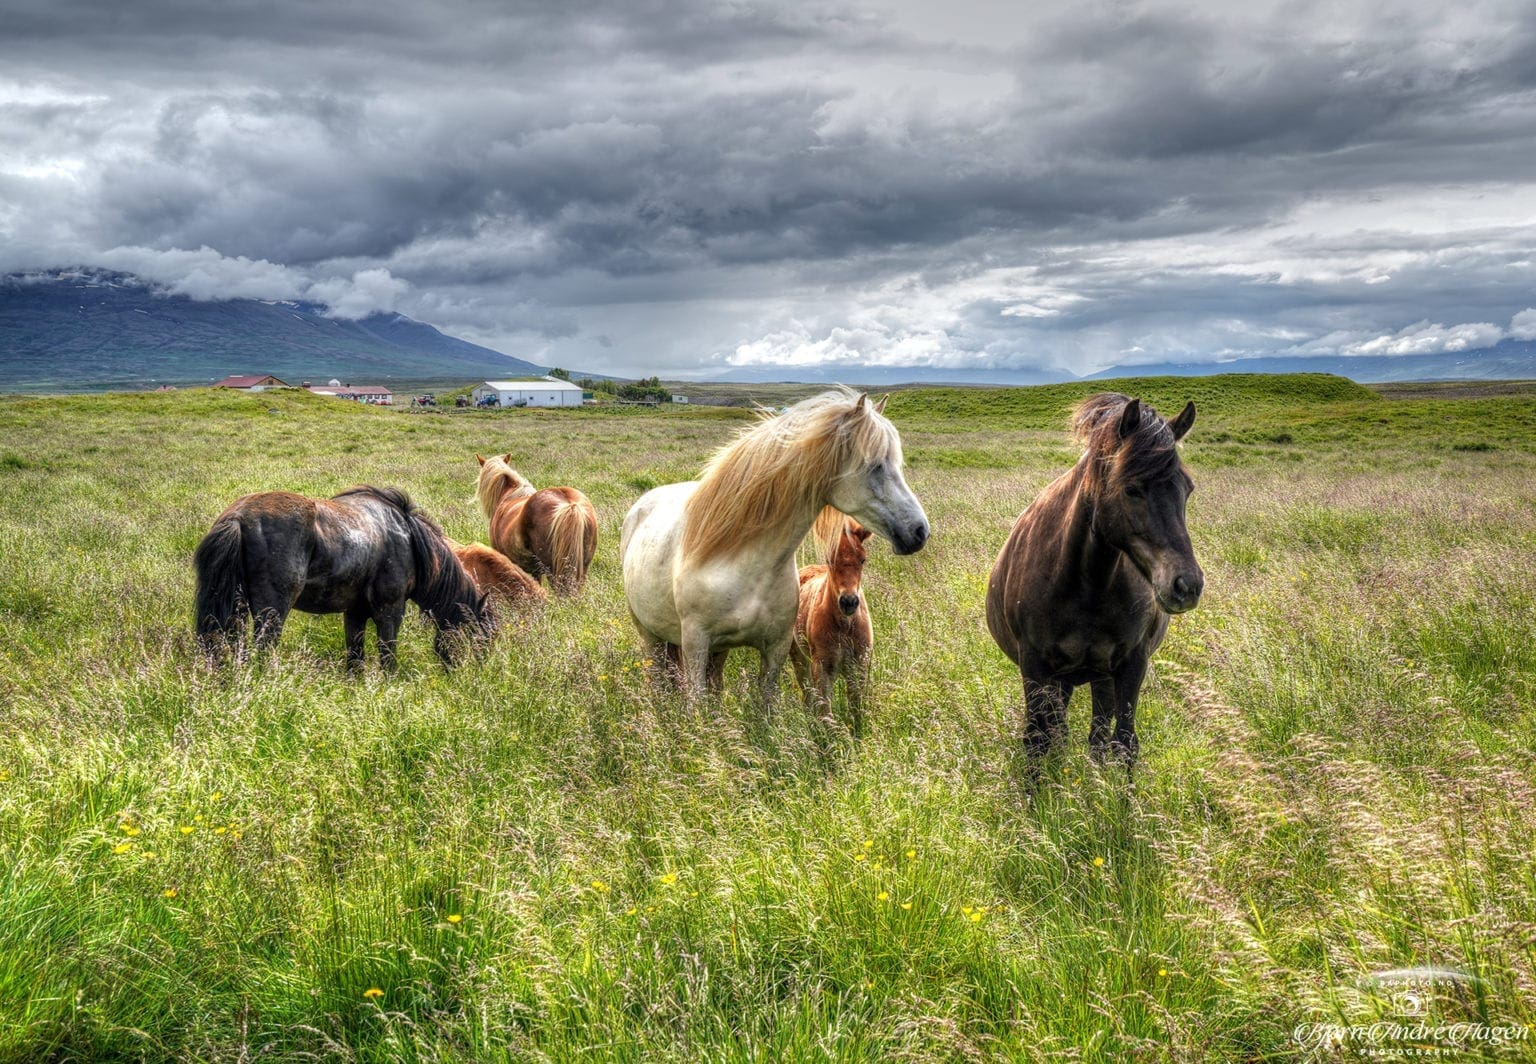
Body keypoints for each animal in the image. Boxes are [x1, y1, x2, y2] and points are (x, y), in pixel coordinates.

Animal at [193, 485, 491, 669]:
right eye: (479, 635)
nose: (475, 673)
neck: (408, 537)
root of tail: (238, 517)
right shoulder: (390, 611)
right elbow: (387, 655)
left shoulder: (355, 613)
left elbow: (355, 658)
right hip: (271, 613)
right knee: (264, 650)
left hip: (235, 610)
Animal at [617, 389, 927, 706]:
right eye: (876, 465)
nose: (919, 531)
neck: (744, 565)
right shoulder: (695, 644)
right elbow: (696, 704)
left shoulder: (775, 649)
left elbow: (765, 704)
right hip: (651, 636)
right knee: (658, 679)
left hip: (717, 651)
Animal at [792, 515, 878, 740]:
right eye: (830, 559)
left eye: (863, 559)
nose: (849, 602)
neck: (845, 628)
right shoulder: (823, 666)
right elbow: (825, 712)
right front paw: (831, 746)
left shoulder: (859, 663)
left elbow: (856, 709)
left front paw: (858, 741)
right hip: (799, 658)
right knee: (807, 696)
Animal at [989, 389, 1204, 764]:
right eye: (1132, 489)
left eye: (1187, 489)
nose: (1186, 585)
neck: (1087, 584)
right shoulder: (1035, 667)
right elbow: (1037, 742)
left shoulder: (1131, 665)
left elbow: (1123, 743)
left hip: (1099, 678)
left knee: (1097, 737)